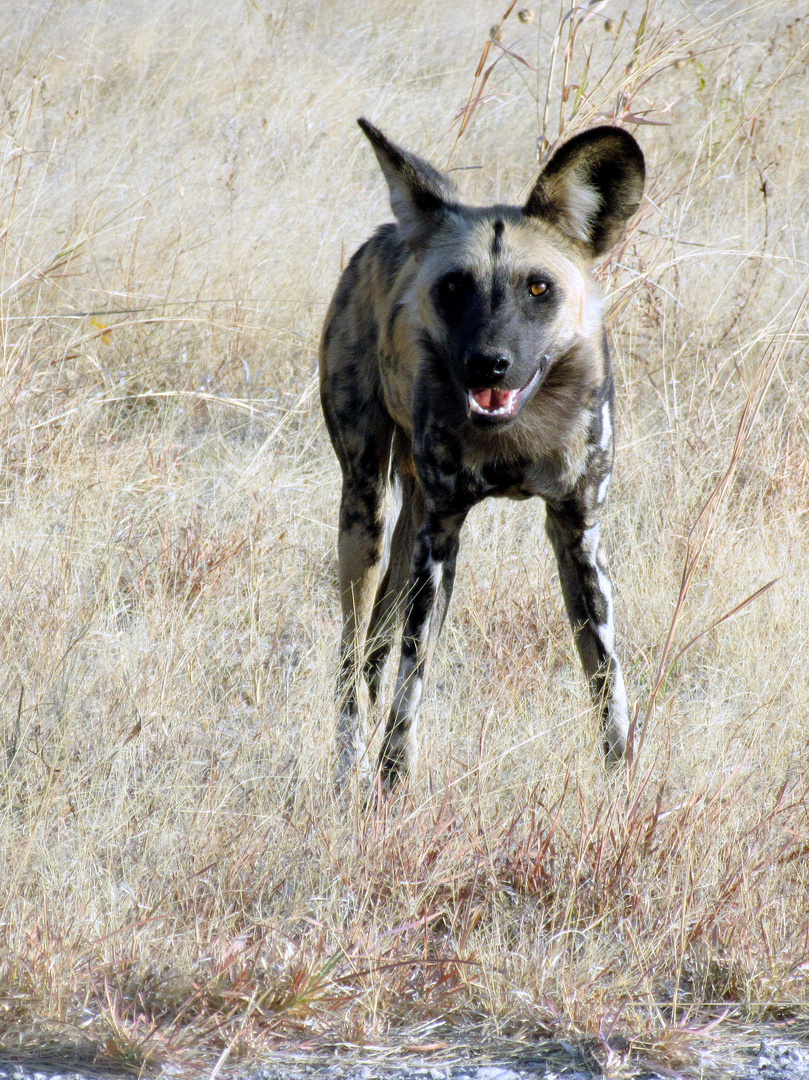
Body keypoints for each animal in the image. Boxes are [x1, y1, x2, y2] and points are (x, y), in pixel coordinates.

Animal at [319, 120, 643, 794]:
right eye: (453, 288)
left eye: (538, 288)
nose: (488, 363)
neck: (517, 436)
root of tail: (388, 232)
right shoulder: (441, 541)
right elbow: (411, 683)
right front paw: (391, 788)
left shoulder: (578, 534)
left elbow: (608, 683)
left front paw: (622, 789)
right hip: (365, 516)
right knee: (352, 660)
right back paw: (346, 772)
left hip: (409, 523)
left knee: (373, 649)